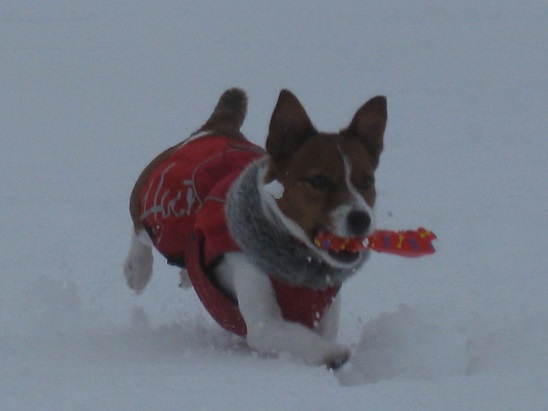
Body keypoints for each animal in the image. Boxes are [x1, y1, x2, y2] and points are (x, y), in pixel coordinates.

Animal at [125, 87, 386, 370]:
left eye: (367, 181)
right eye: (318, 181)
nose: (361, 218)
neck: (300, 263)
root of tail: (215, 128)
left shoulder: (325, 306)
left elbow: (320, 331)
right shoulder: (265, 320)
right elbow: (295, 336)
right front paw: (332, 354)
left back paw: (185, 273)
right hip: (158, 210)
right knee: (139, 230)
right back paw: (137, 270)